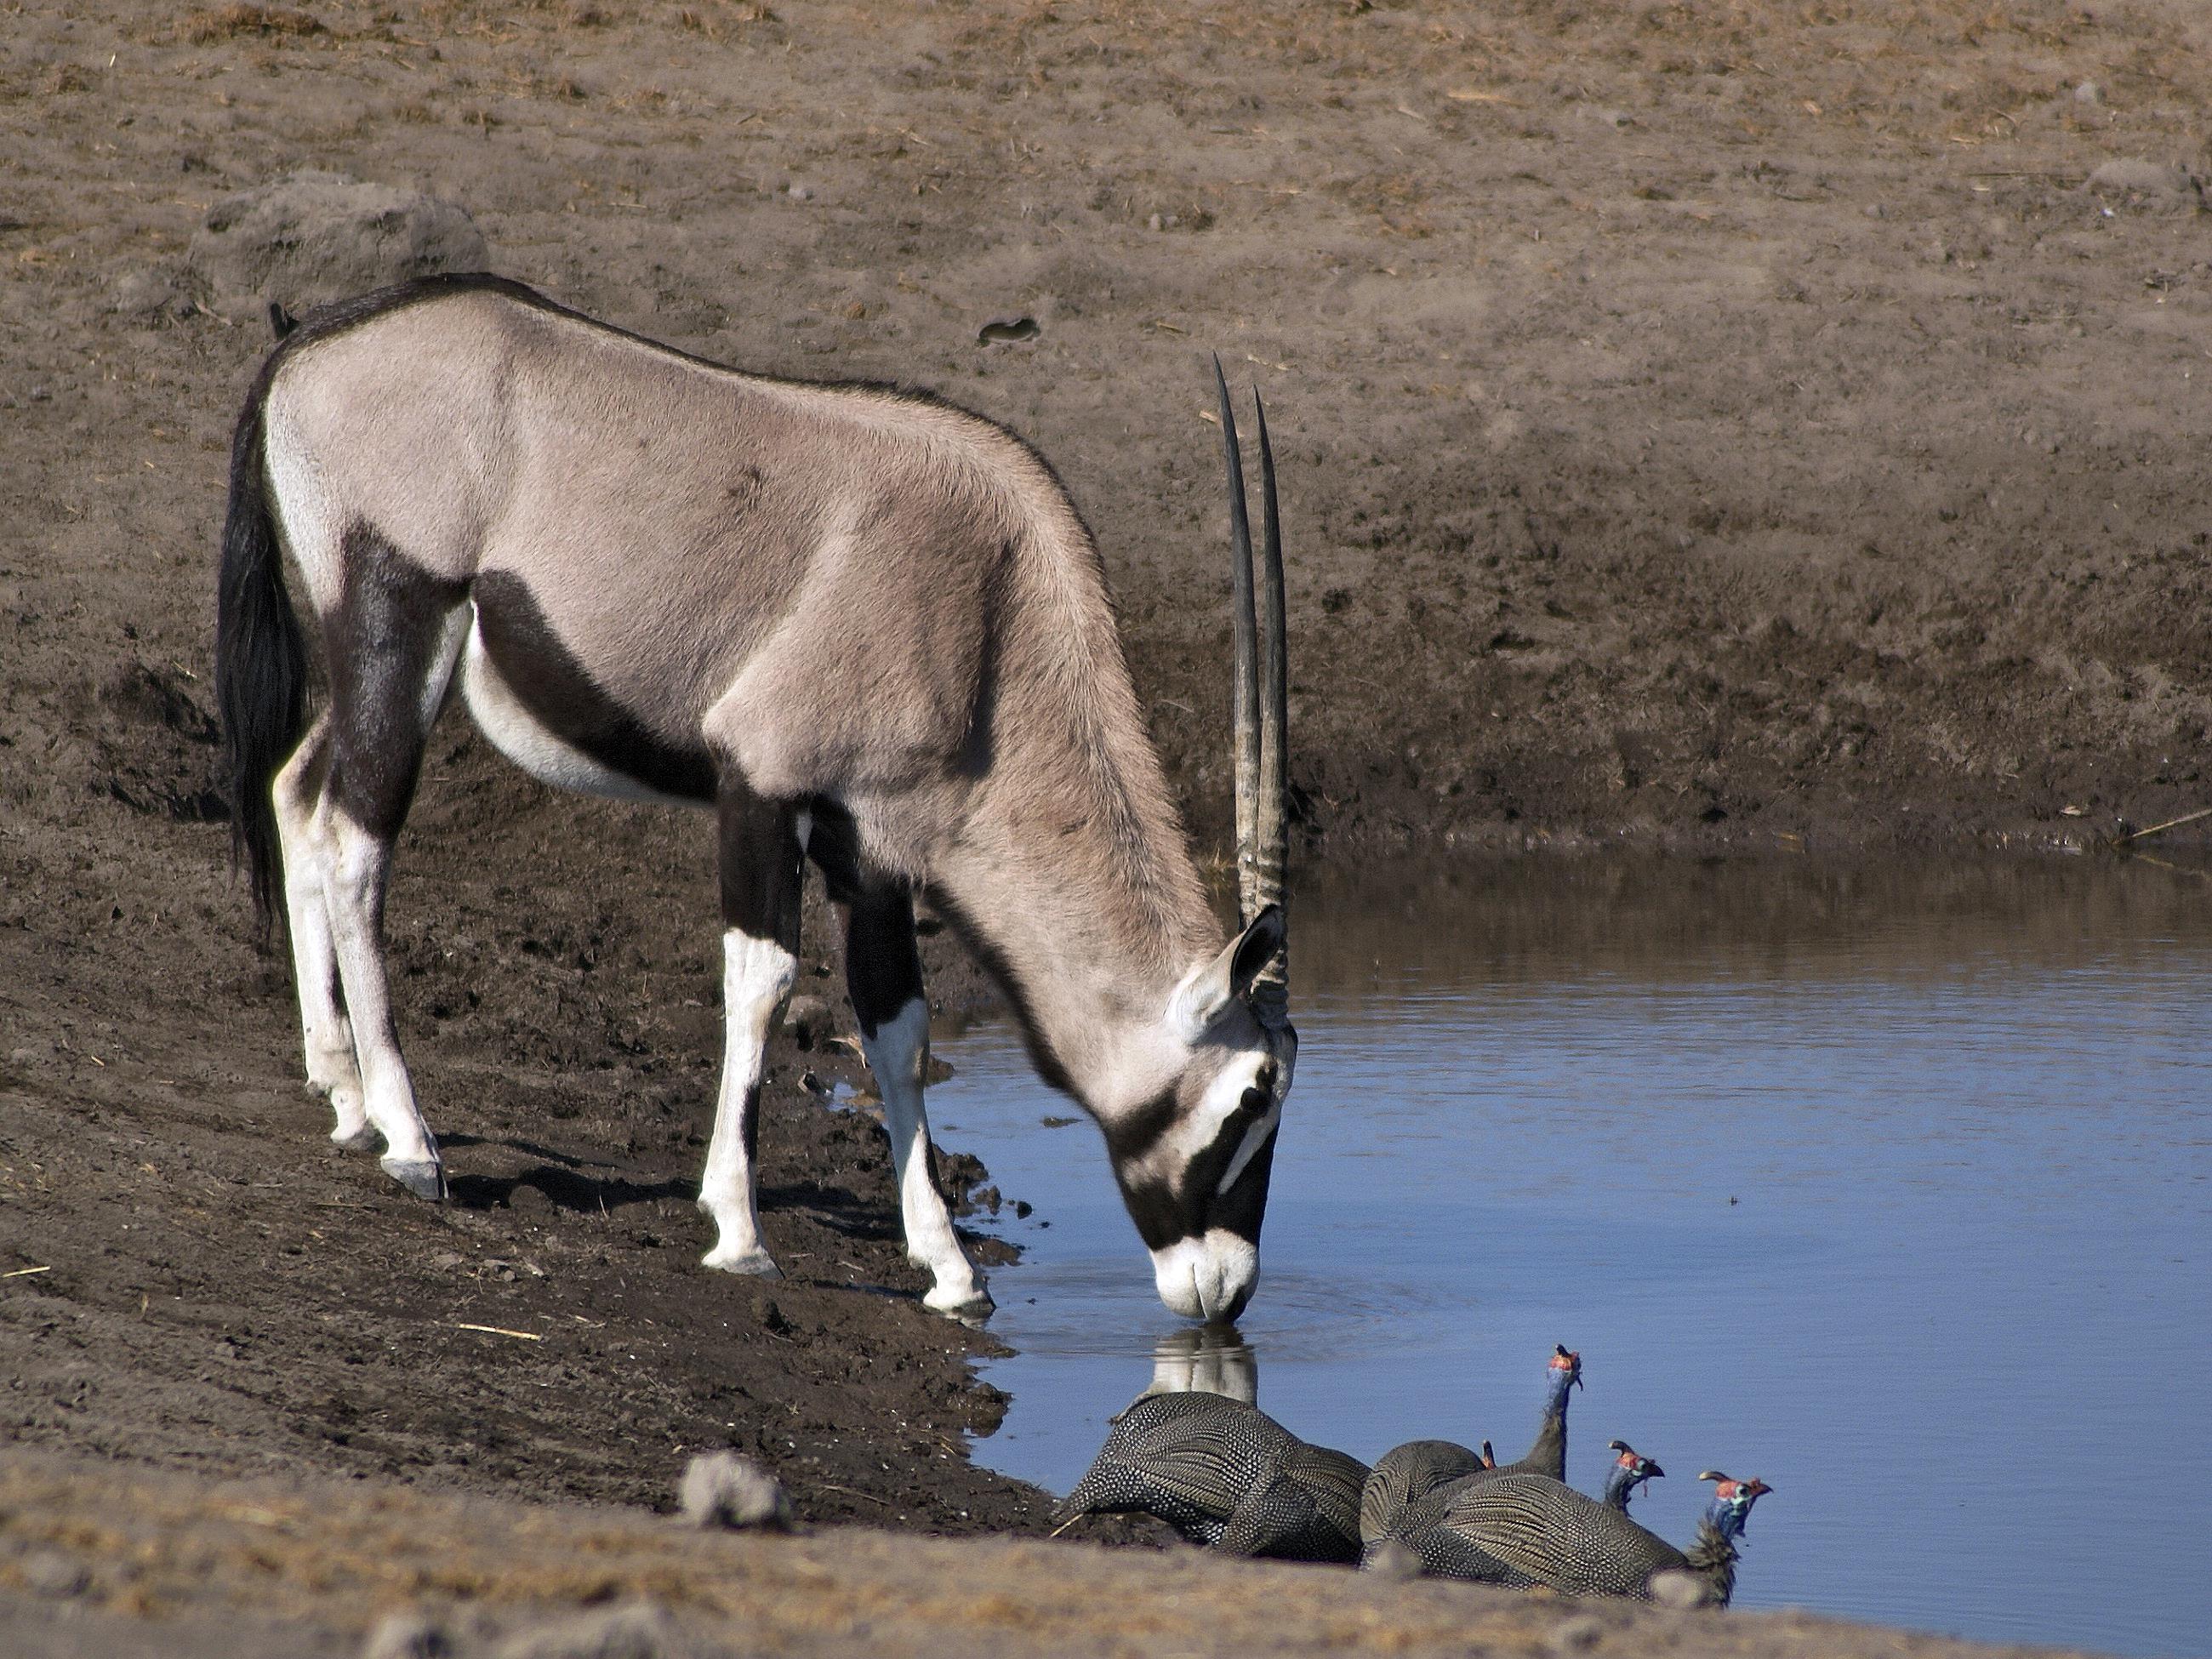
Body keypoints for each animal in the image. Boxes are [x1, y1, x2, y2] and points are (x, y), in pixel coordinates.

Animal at [219, 279, 1291, 1336]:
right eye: (1253, 1096)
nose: (1225, 1291)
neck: (987, 618)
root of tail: (307, 347)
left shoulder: (870, 848)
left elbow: (898, 1029)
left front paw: (949, 1269)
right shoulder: (761, 786)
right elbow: (762, 984)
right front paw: (739, 1233)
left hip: (384, 670)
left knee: (299, 797)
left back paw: (344, 1093)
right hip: (401, 622)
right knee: (356, 848)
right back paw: (407, 1138)